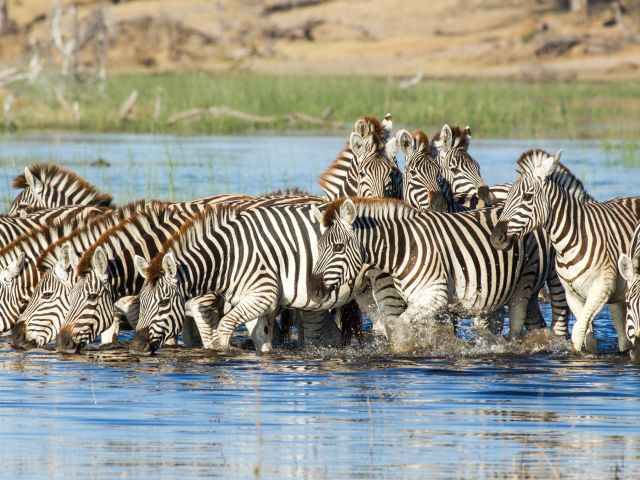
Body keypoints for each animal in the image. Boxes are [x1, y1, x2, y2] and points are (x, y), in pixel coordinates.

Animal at [491, 149, 640, 355]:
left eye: (527, 197)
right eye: (506, 198)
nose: (496, 237)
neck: (570, 241)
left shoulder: (601, 288)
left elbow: (578, 330)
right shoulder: (572, 294)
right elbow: (587, 336)